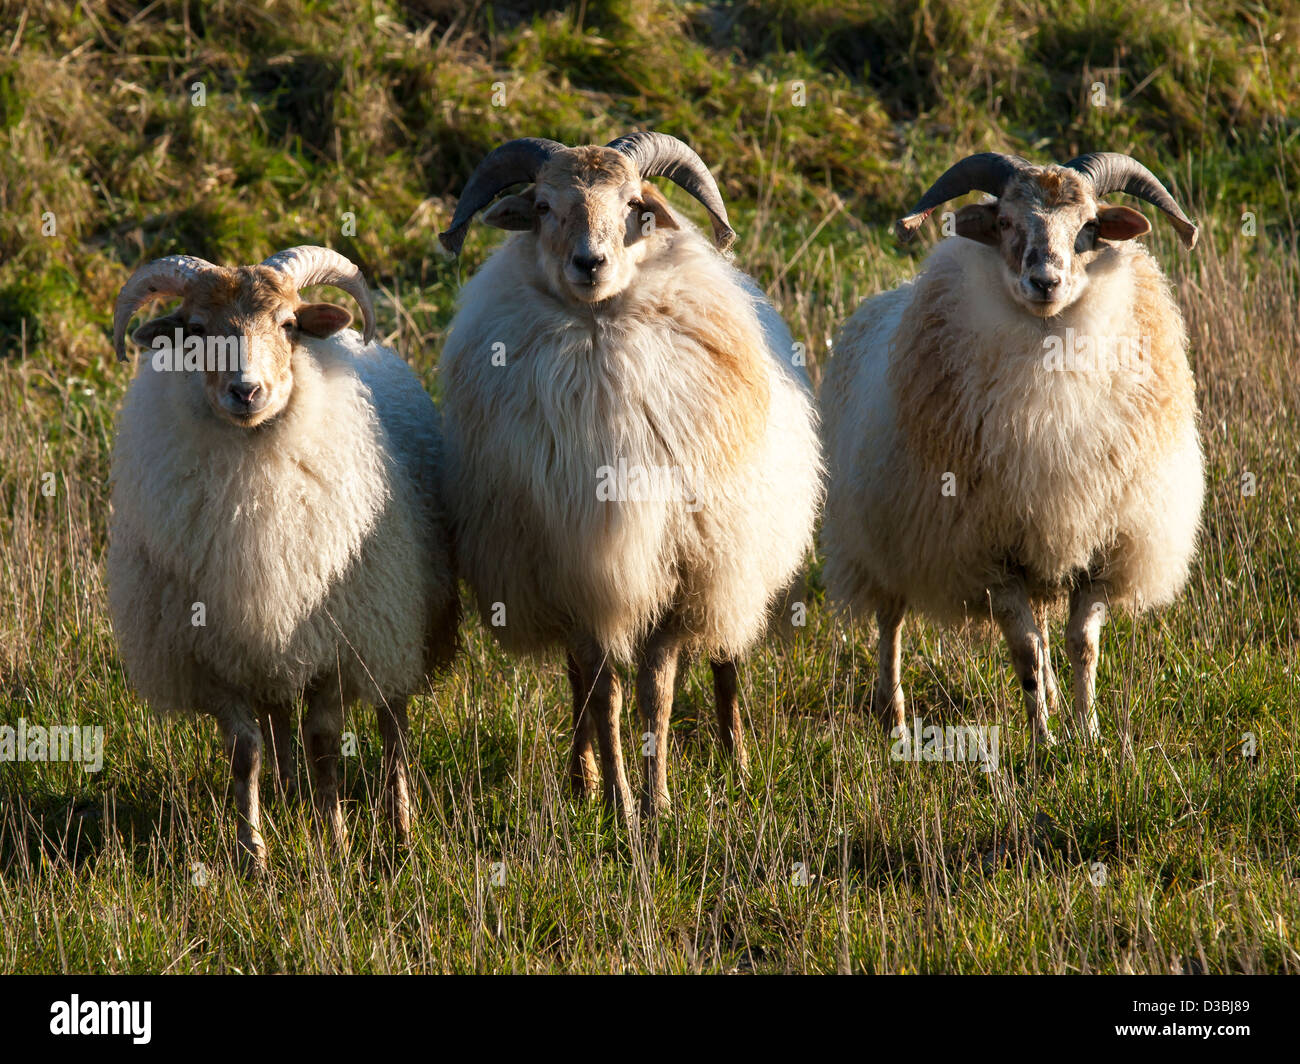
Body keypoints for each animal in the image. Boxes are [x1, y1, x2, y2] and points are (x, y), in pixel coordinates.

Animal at [109, 244, 460, 868]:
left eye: (289, 325)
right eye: (195, 330)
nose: (246, 391)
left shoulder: (340, 643)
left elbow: (324, 743)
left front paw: (336, 844)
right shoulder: (215, 656)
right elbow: (245, 750)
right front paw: (253, 853)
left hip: (395, 622)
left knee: (392, 718)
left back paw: (399, 826)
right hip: (267, 639)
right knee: (276, 724)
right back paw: (291, 795)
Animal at [821, 153, 1206, 744]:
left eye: (1090, 228)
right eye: (1004, 222)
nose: (1044, 281)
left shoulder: (1102, 541)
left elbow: (1081, 645)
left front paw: (1089, 737)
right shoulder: (986, 552)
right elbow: (1022, 651)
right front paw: (1042, 742)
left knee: (1043, 625)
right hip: (881, 536)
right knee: (891, 621)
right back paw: (895, 718)